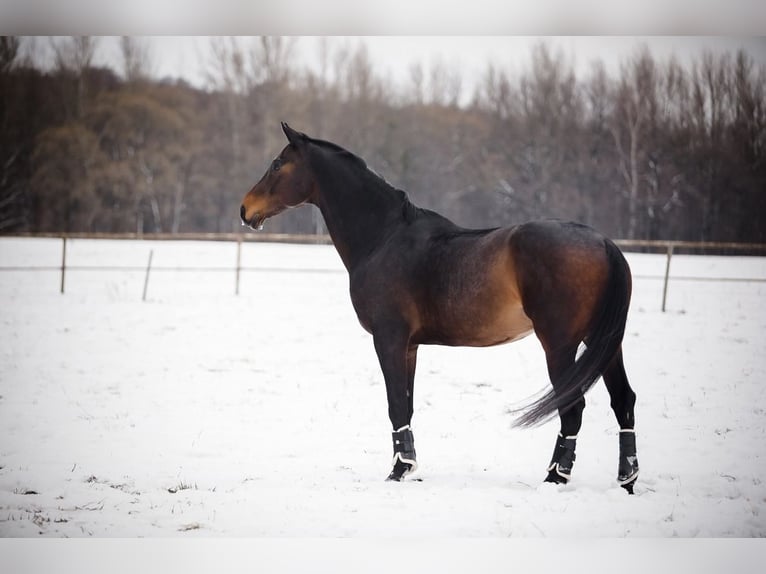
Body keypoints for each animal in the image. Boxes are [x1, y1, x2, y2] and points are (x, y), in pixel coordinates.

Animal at [242, 122, 640, 496]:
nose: (245, 209)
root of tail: (604, 244)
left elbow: (395, 404)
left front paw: (398, 470)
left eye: (277, 164)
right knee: (623, 401)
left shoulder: (388, 338)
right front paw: (407, 467)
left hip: (559, 345)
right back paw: (627, 479)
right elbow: (406, 404)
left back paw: (555, 476)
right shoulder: (410, 346)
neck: (384, 238)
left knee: (572, 409)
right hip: (604, 343)